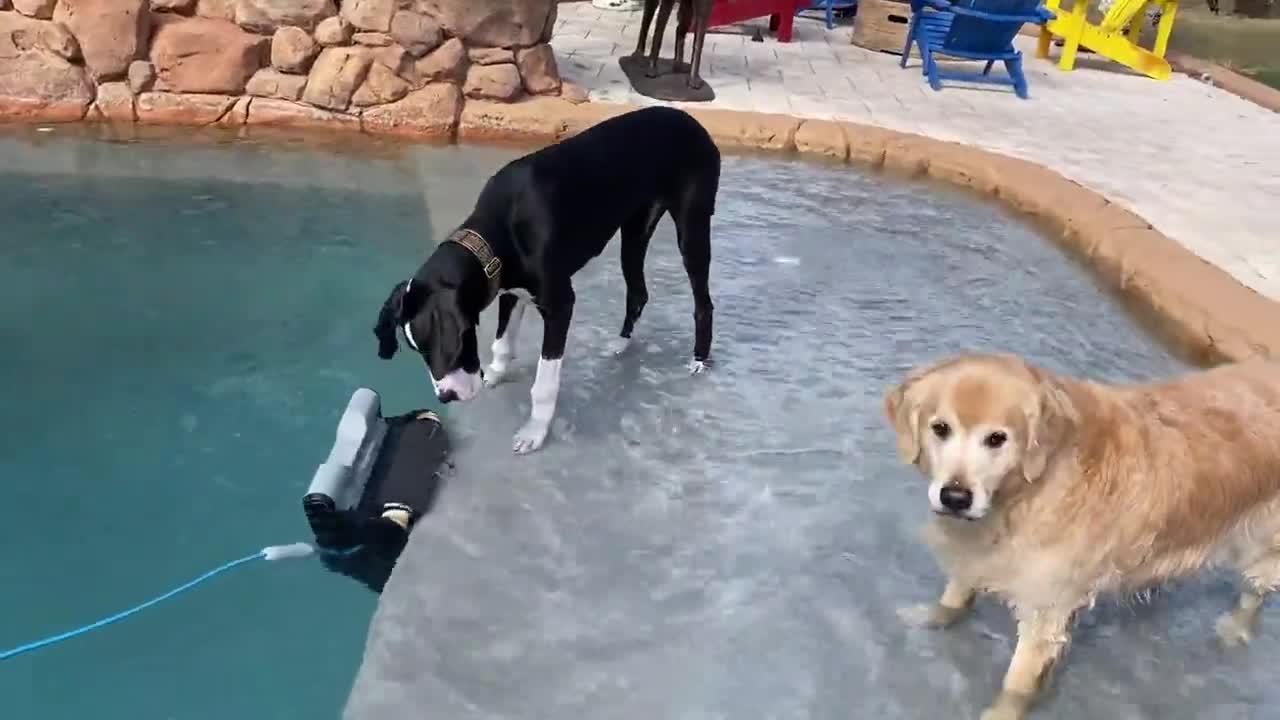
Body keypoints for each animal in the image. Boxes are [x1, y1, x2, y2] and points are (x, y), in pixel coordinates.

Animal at [373, 105, 727, 453]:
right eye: (417, 349)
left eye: (447, 346)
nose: (446, 397)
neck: (499, 232)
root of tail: (691, 120)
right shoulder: (510, 290)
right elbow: (502, 342)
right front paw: (496, 374)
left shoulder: (560, 305)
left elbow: (543, 385)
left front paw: (534, 432)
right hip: (634, 233)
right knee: (638, 292)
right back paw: (621, 342)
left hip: (692, 229)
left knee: (704, 303)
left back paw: (699, 359)